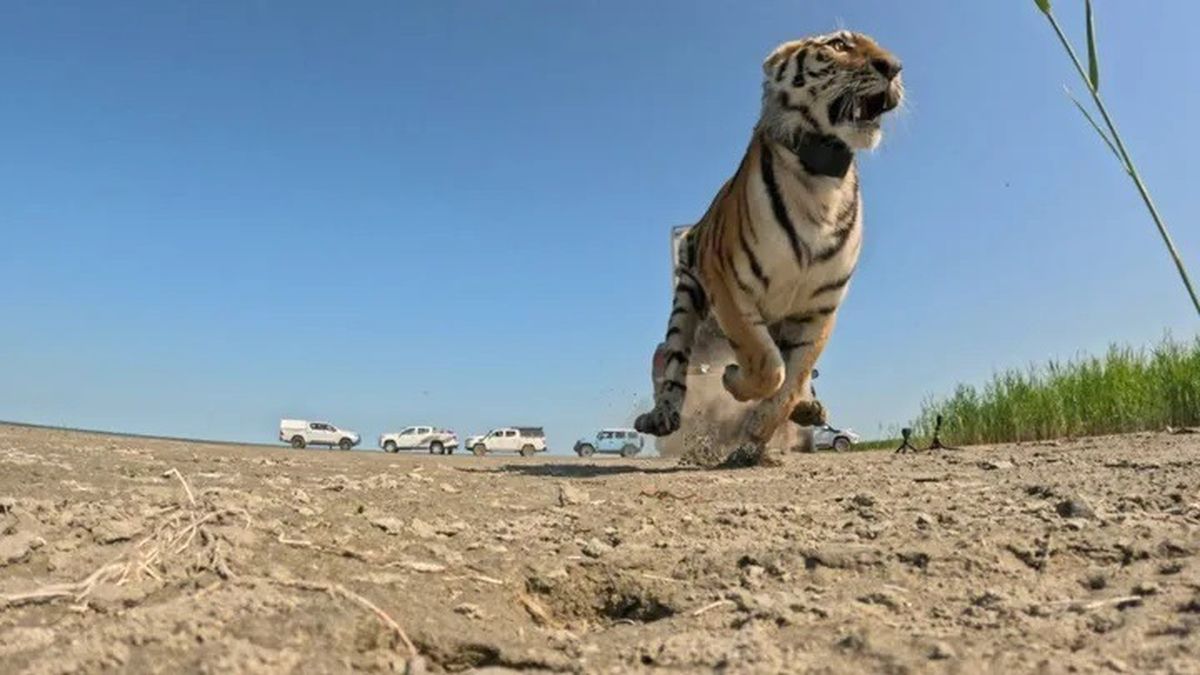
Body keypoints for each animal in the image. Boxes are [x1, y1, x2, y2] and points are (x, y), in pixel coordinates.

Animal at [634, 30, 904, 463]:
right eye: (839, 45)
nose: (894, 67)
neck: (820, 180)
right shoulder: (729, 286)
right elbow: (766, 364)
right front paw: (734, 380)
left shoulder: (821, 307)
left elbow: (792, 378)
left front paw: (760, 430)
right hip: (687, 299)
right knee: (676, 365)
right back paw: (663, 415)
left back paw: (807, 408)